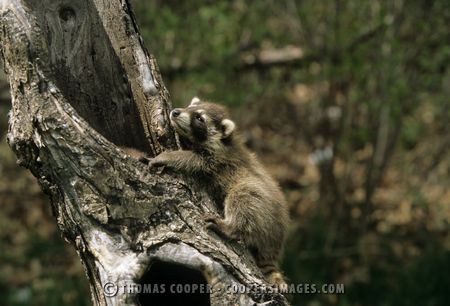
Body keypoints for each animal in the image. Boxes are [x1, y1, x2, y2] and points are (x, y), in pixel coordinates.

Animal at [150, 97, 292, 286]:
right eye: (190, 106)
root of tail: (274, 243)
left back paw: (230, 226)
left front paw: (166, 157)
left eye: (199, 118)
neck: (225, 142)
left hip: (261, 205)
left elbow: (191, 159)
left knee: (245, 196)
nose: (175, 112)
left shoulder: (217, 160)